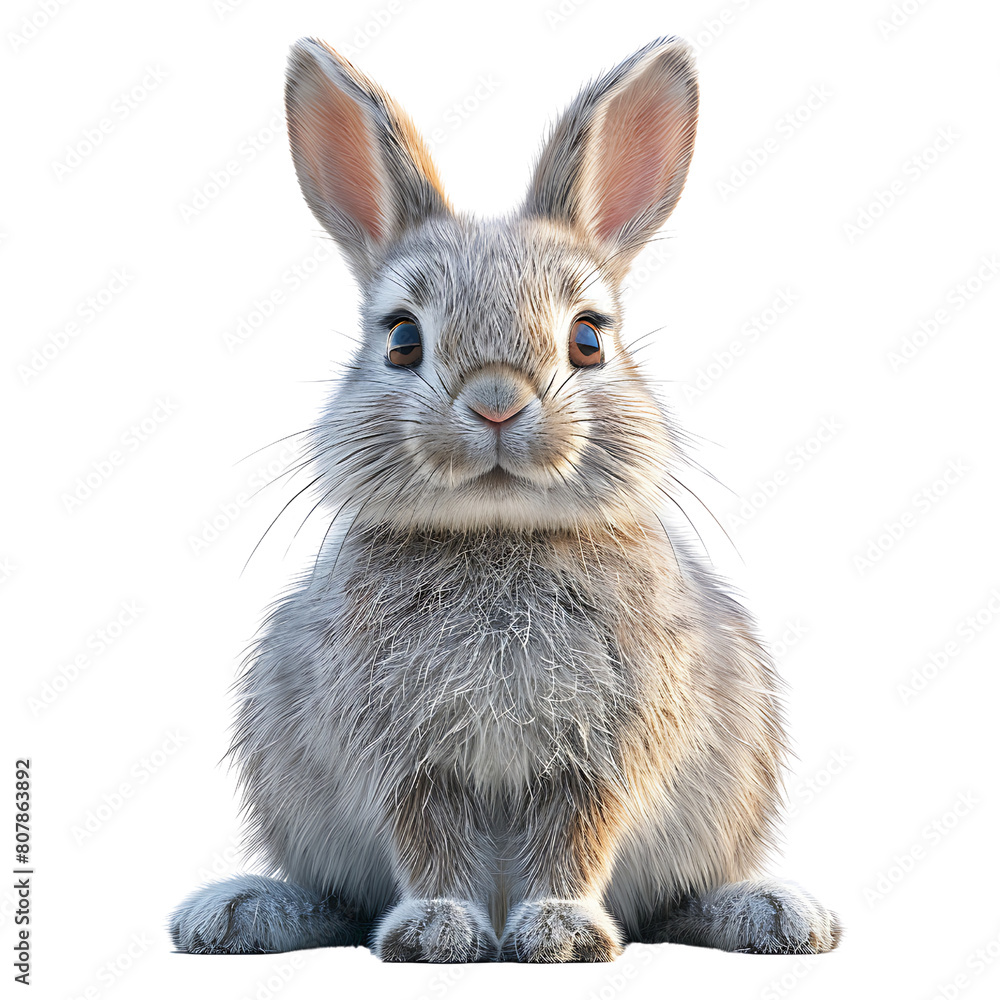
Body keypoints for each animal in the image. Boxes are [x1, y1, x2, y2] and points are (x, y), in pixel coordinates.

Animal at [169, 36, 842, 962]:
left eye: (588, 339)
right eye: (402, 339)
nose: (495, 401)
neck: (500, 533)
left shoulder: (602, 755)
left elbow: (577, 838)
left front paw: (559, 934)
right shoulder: (406, 759)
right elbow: (428, 840)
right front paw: (436, 932)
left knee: (674, 902)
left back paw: (776, 913)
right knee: (338, 896)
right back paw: (236, 912)